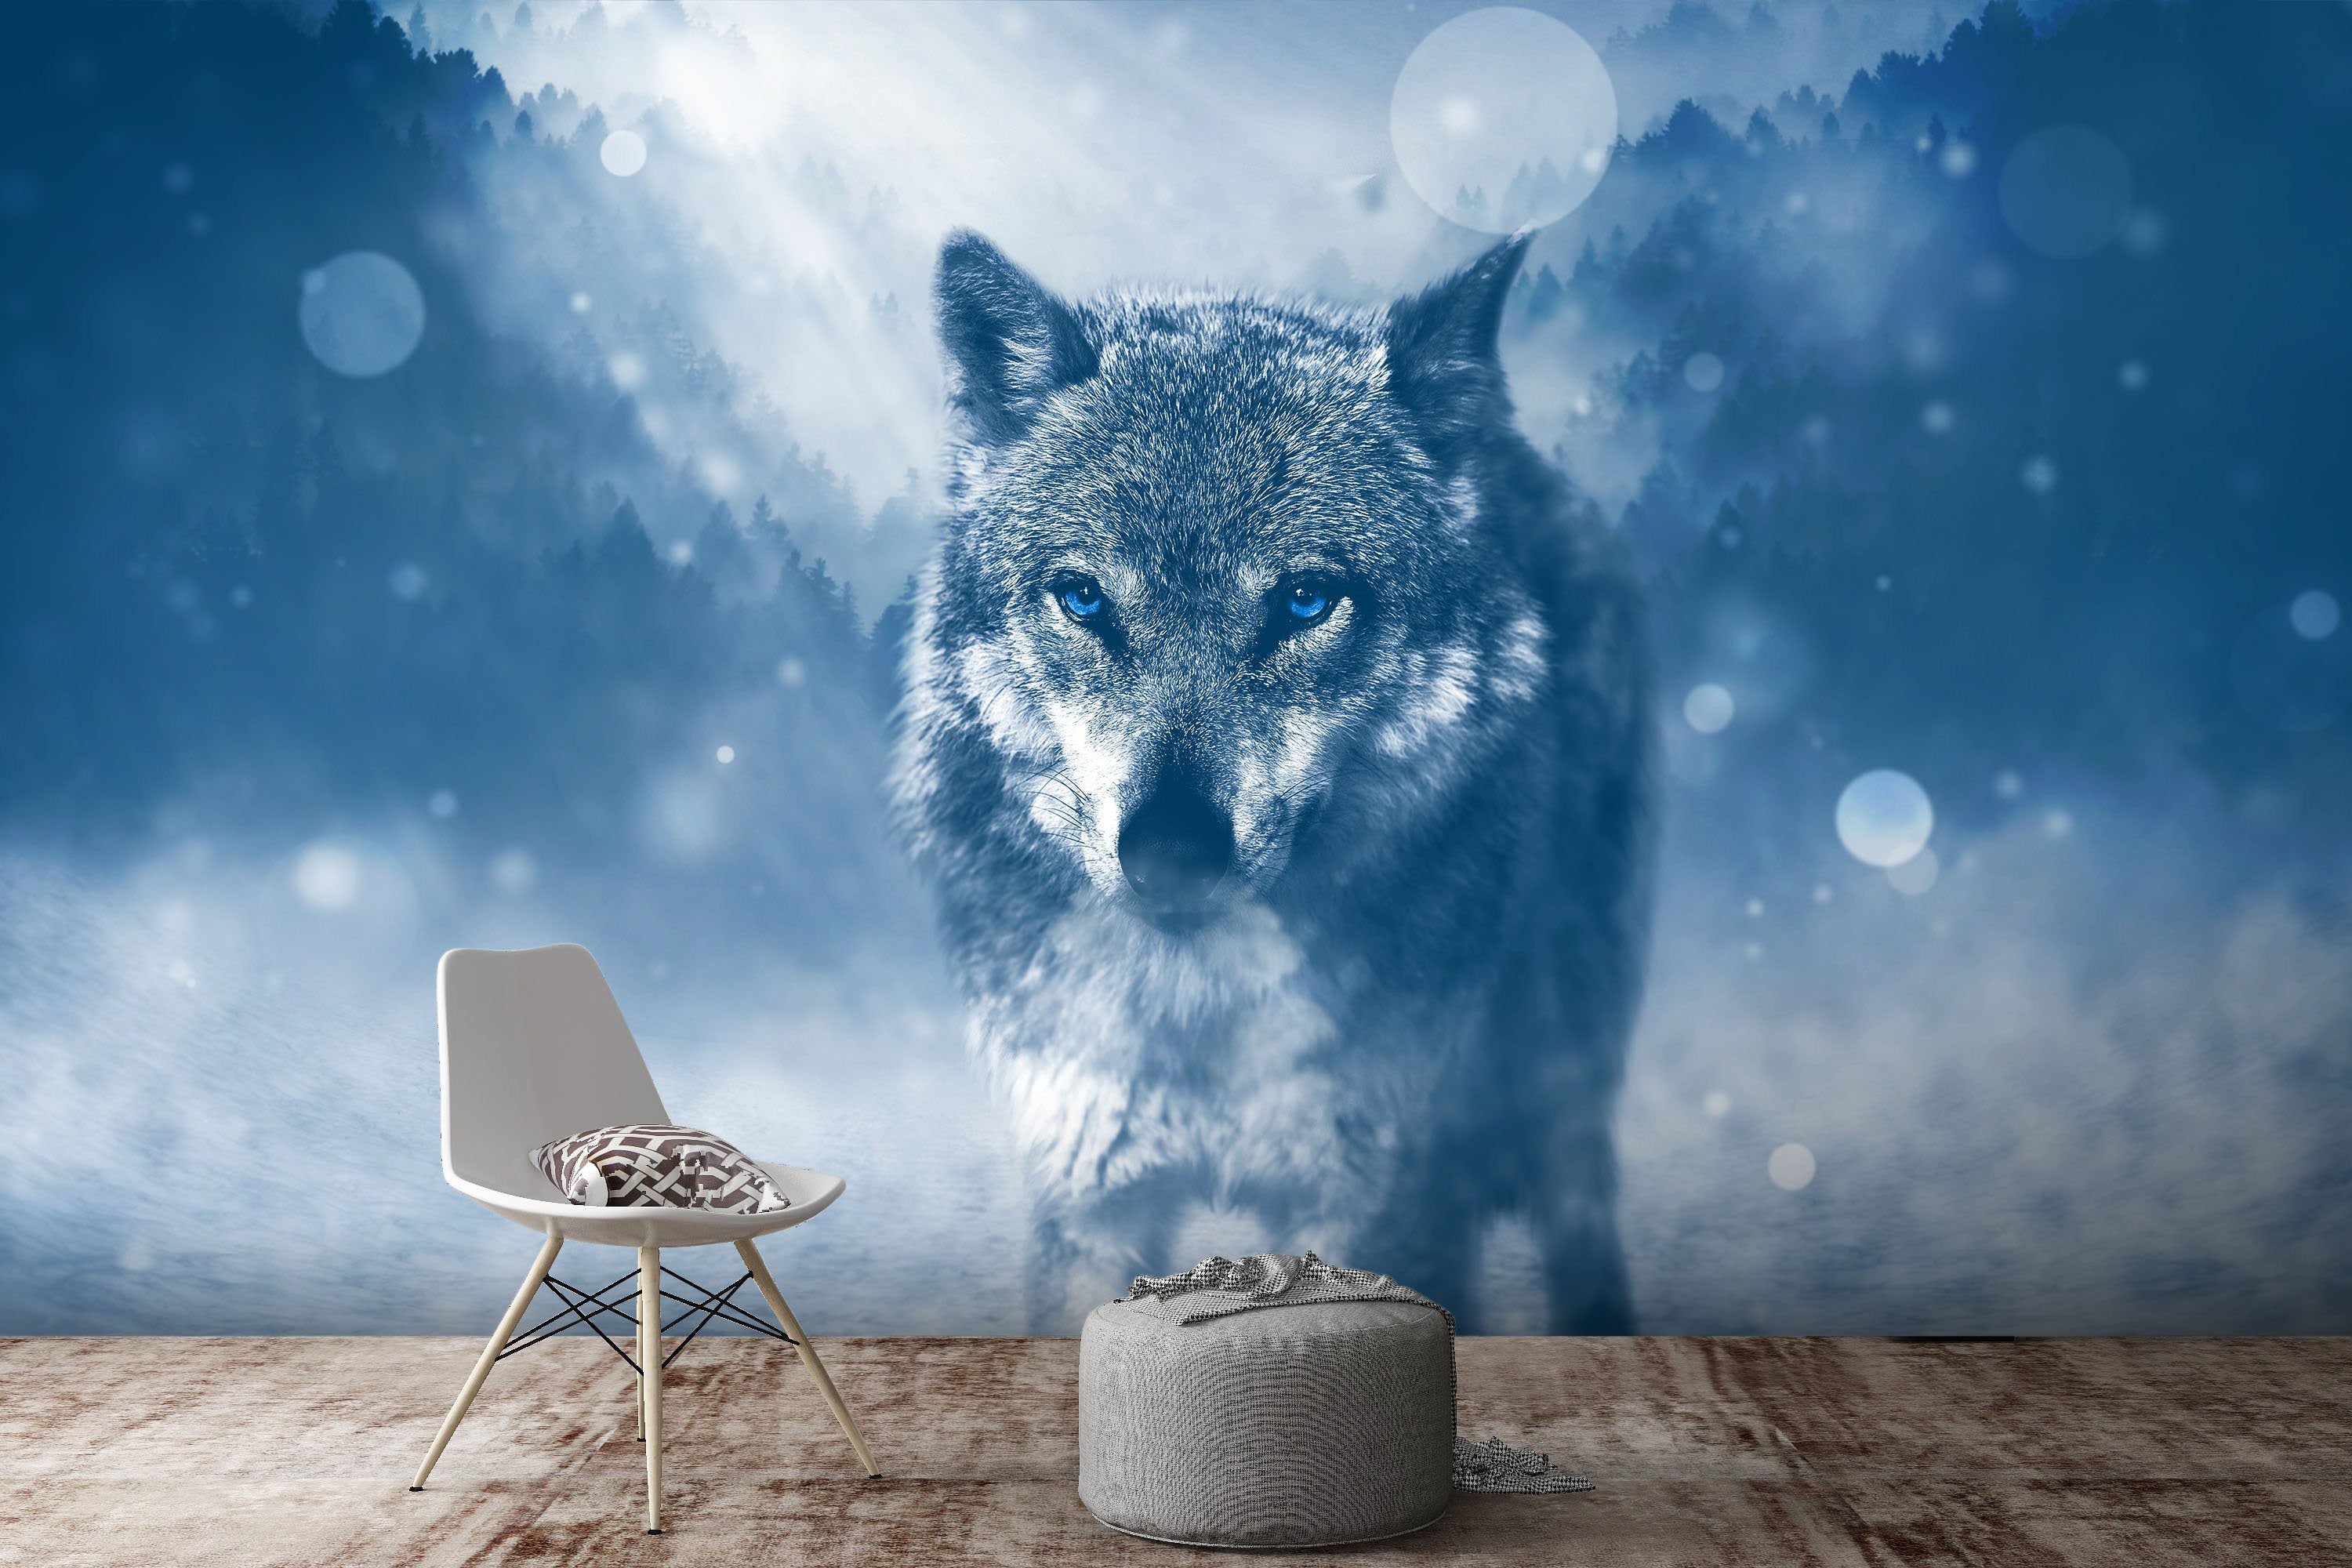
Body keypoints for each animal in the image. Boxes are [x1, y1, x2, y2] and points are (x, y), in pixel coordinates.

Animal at [892, 230, 1655, 1334]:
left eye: (1304, 599)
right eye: (1084, 597)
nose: (1170, 851)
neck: (1200, 1010)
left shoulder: (1380, 1186)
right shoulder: (1086, 1186)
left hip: (1561, 1067)